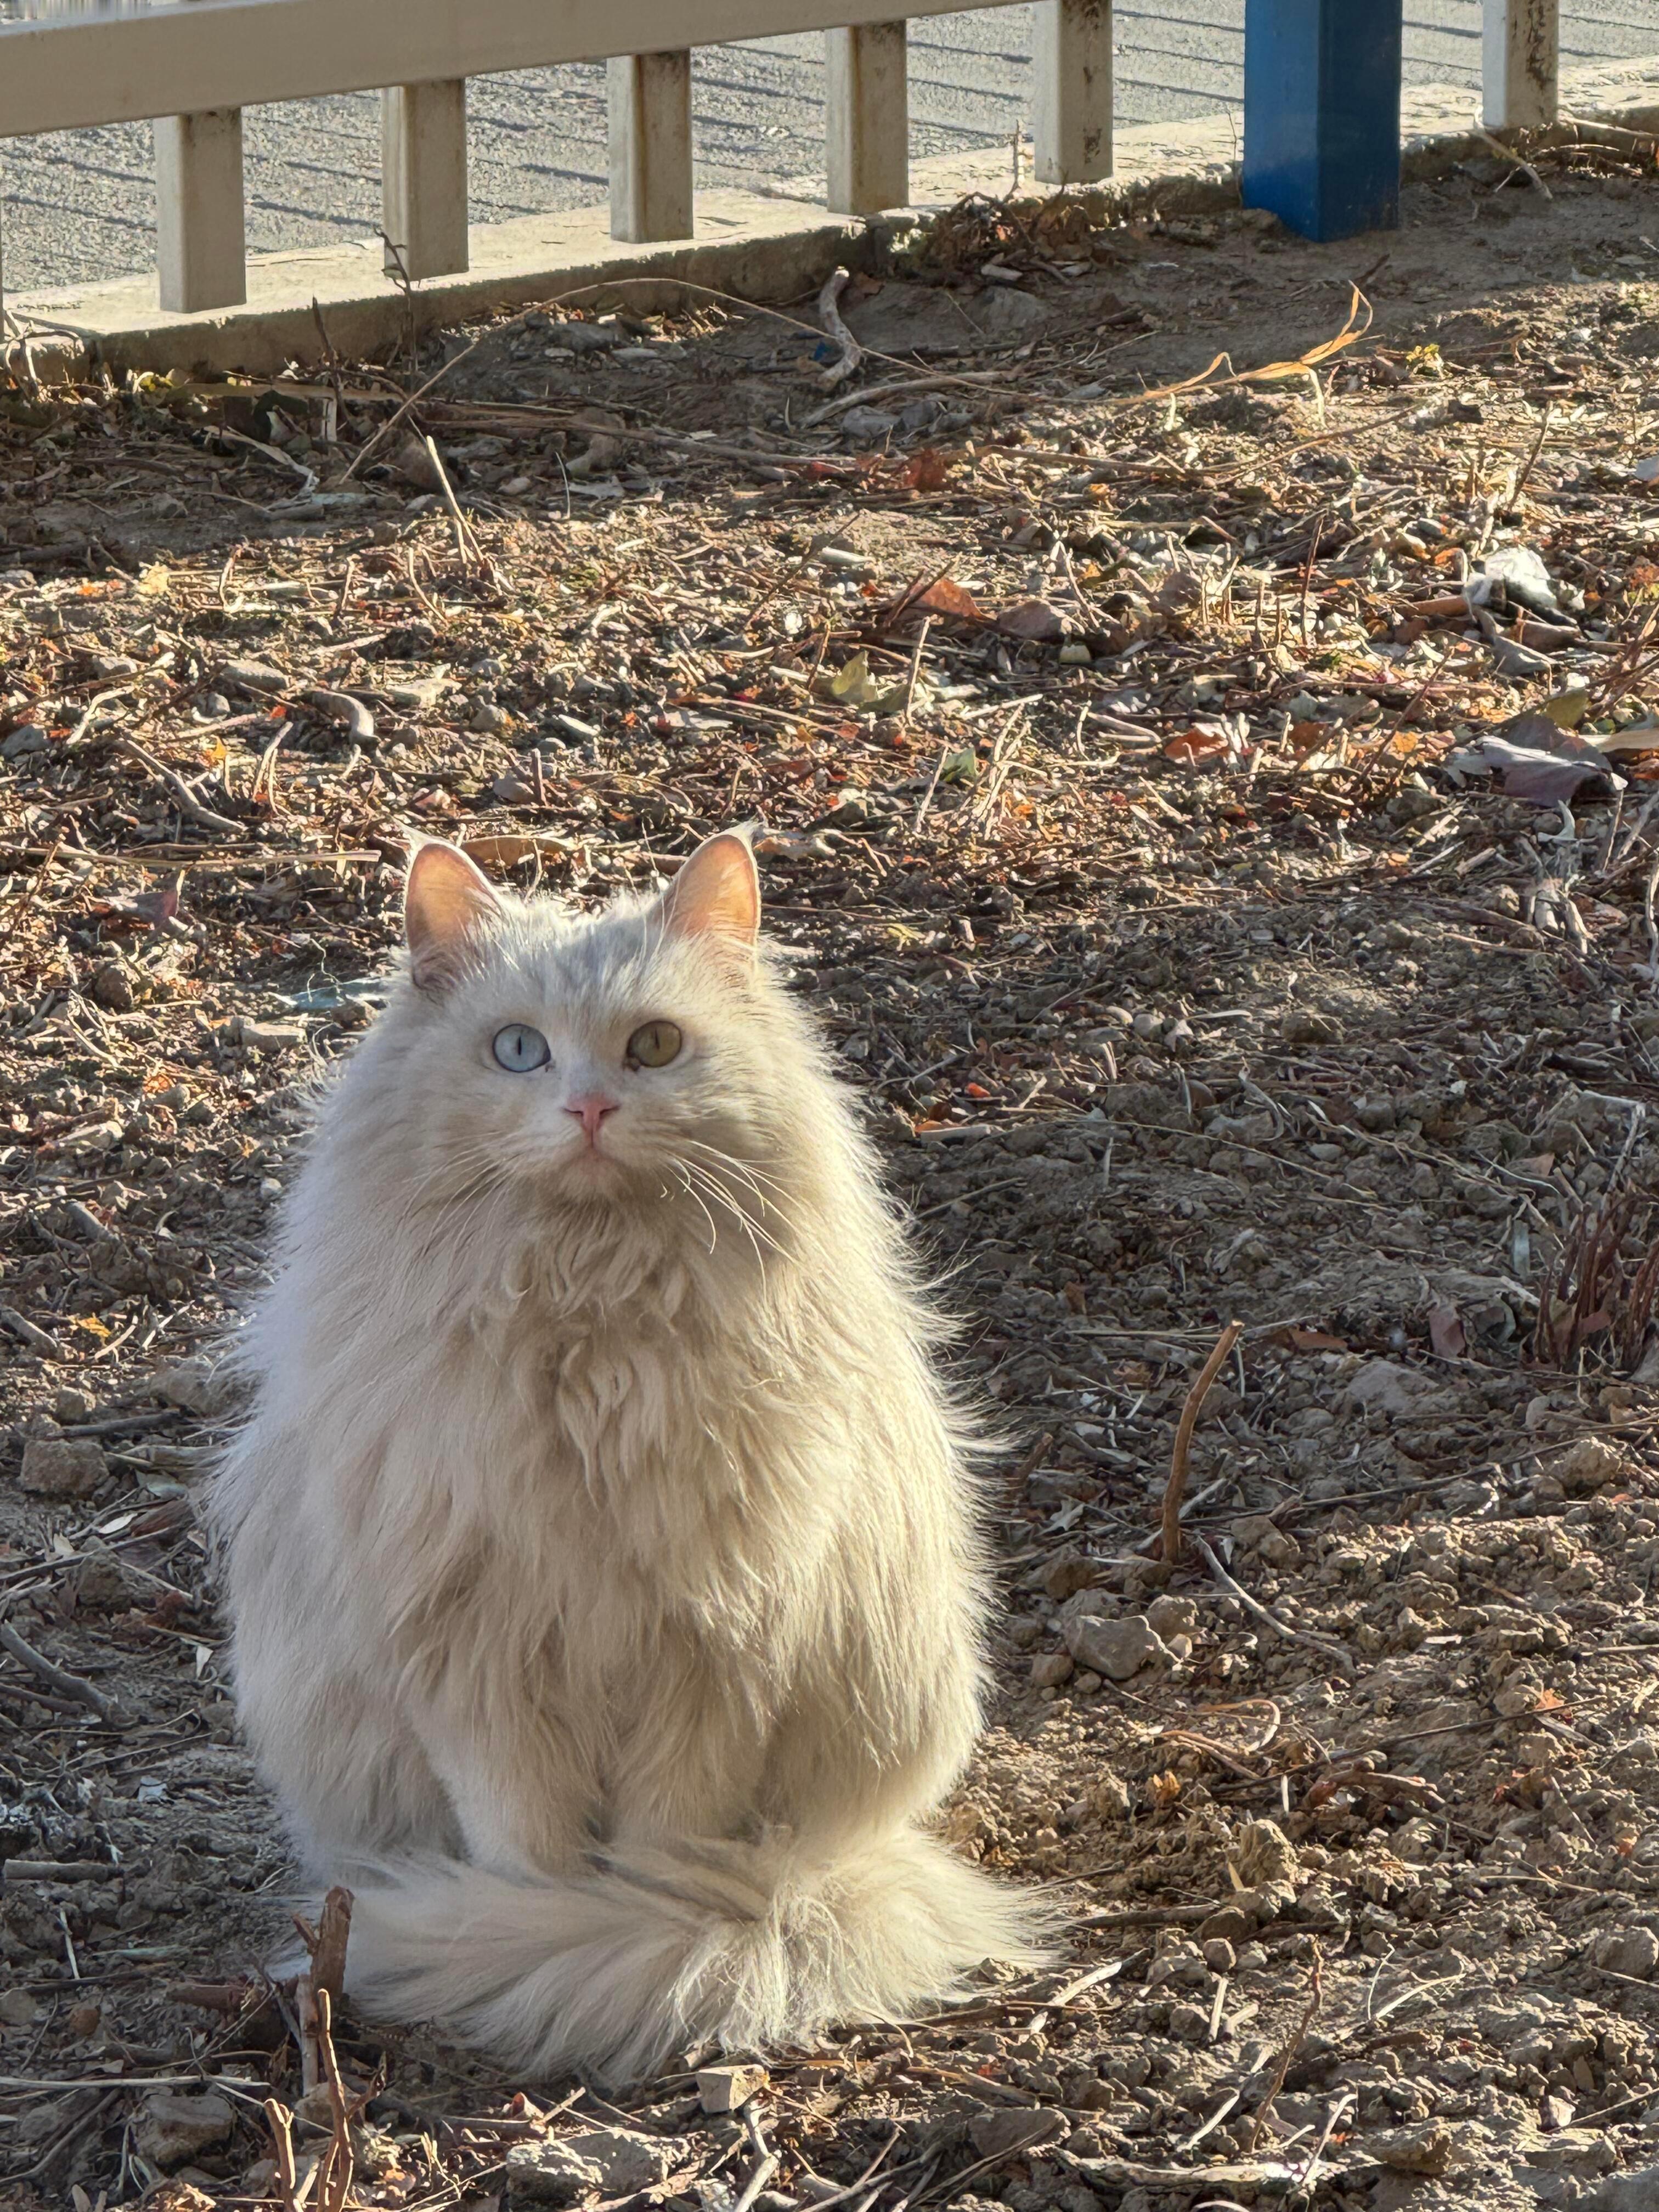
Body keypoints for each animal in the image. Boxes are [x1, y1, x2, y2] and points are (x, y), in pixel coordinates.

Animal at [211, 827, 1053, 2070]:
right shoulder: (477, 1665)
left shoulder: (714, 1653)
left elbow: (660, 1850)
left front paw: (618, 1927)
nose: (591, 1108)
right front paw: (539, 1925)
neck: (591, 1331)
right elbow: (529, 1853)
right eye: (517, 1050)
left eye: (653, 1047)